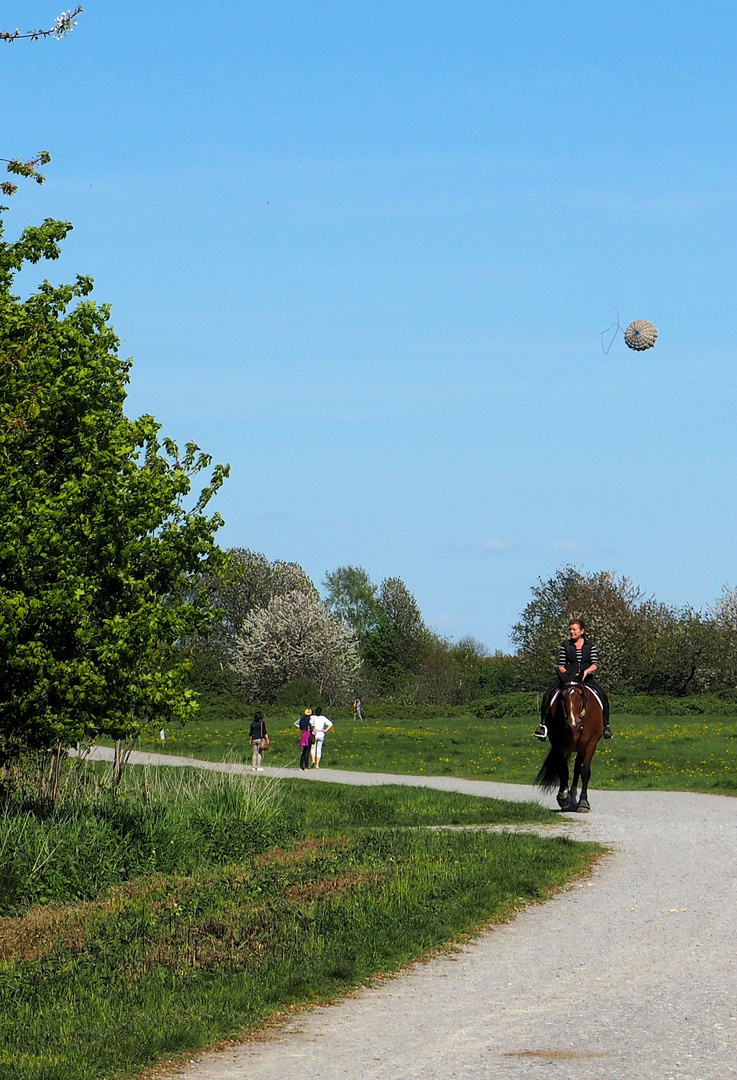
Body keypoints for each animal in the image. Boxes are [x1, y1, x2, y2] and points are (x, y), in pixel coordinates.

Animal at [533, 673, 600, 812]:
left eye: (581, 694)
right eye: (562, 696)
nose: (572, 723)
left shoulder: (590, 743)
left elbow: (585, 772)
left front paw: (583, 803)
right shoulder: (558, 744)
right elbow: (563, 769)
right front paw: (563, 798)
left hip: (581, 748)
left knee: (577, 769)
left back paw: (574, 798)